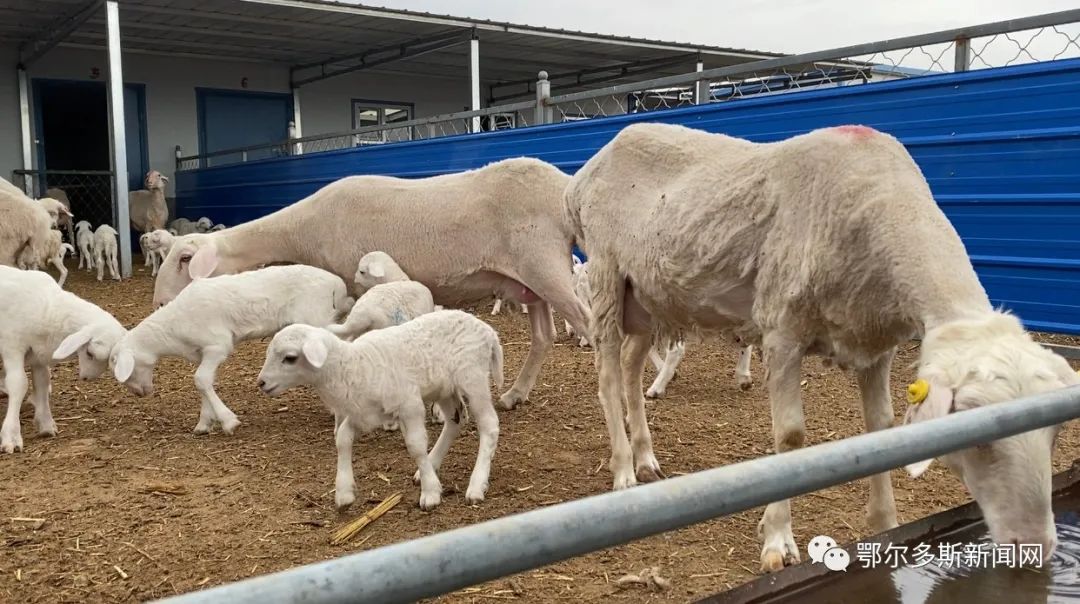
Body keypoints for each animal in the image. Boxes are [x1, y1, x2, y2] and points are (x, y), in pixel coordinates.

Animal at [0, 266, 126, 451]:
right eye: (89, 353)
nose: (86, 378)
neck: (46, 308)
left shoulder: (38, 355)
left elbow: (42, 382)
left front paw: (46, 425)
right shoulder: (12, 346)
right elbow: (19, 383)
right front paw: (12, 436)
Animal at [111, 264, 352, 434]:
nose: (139, 394)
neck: (172, 327)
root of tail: (336, 284)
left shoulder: (218, 345)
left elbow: (200, 379)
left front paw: (228, 421)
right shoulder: (203, 353)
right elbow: (204, 381)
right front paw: (204, 423)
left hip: (314, 318)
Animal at [152, 155, 591, 410]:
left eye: (185, 260)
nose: (158, 303)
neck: (304, 228)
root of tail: (565, 187)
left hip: (544, 262)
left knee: (589, 324)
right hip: (529, 278)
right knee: (543, 336)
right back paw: (515, 395)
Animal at [257, 311, 505, 509]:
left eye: (290, 358)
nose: (261, 383)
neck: (352, 366)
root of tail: (488, 331)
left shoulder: (409, 405)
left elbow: (415, 447)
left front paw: (430, 493)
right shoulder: (363, 413)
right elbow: (342, 439)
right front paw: (344, 492)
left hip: (472, 377)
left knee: (489, 425)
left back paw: (476, 485)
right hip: (444, 388)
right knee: (456, 420)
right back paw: (433, 463)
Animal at [565, 123, 1071, 570]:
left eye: (1054, 431)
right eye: (975, 435)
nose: (1035, 547)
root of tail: (584, 174)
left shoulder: (876, 346)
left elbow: (883, 429)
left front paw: (886, 525)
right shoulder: (782, 330)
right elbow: (790, 436)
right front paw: (776, 539)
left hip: (646, 297)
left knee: (632, 370)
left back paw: (647, 459)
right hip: (607, 275)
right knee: (608, 378)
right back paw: (624, 472)